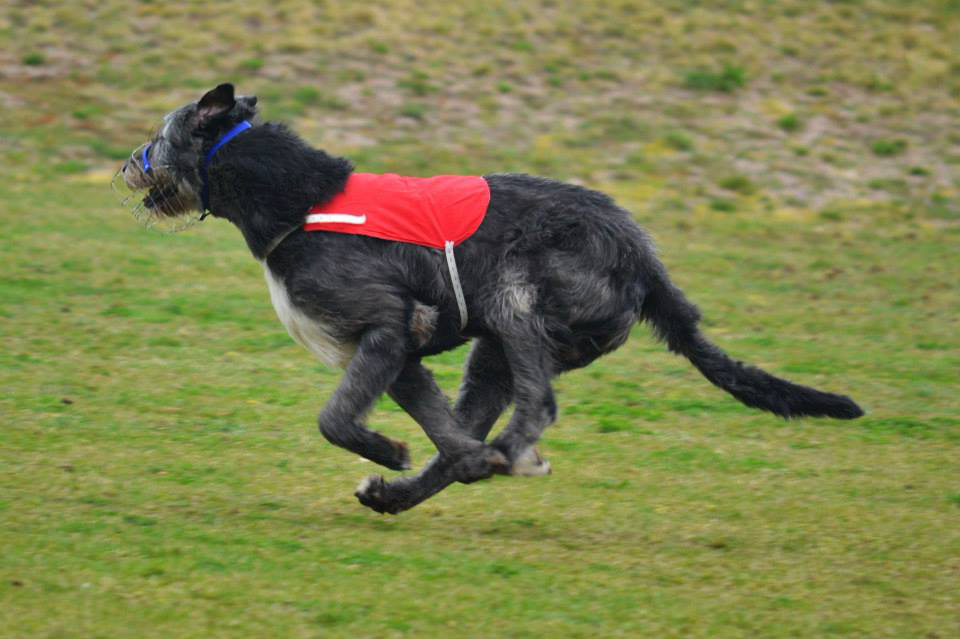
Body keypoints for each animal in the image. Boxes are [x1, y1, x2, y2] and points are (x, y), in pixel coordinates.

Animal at [120, 85, 864, 516]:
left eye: (157, 135)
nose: (125, 166)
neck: (302, 198)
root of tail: (647, 261)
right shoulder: (400, 353)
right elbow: (445, 432)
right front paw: (435, 464)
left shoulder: (387, 327)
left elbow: (335, 419)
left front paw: (389, 451)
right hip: (495, 351)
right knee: (477, 420)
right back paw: (411, 492)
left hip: (516, 299)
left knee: (539, 402)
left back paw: (510, 451)